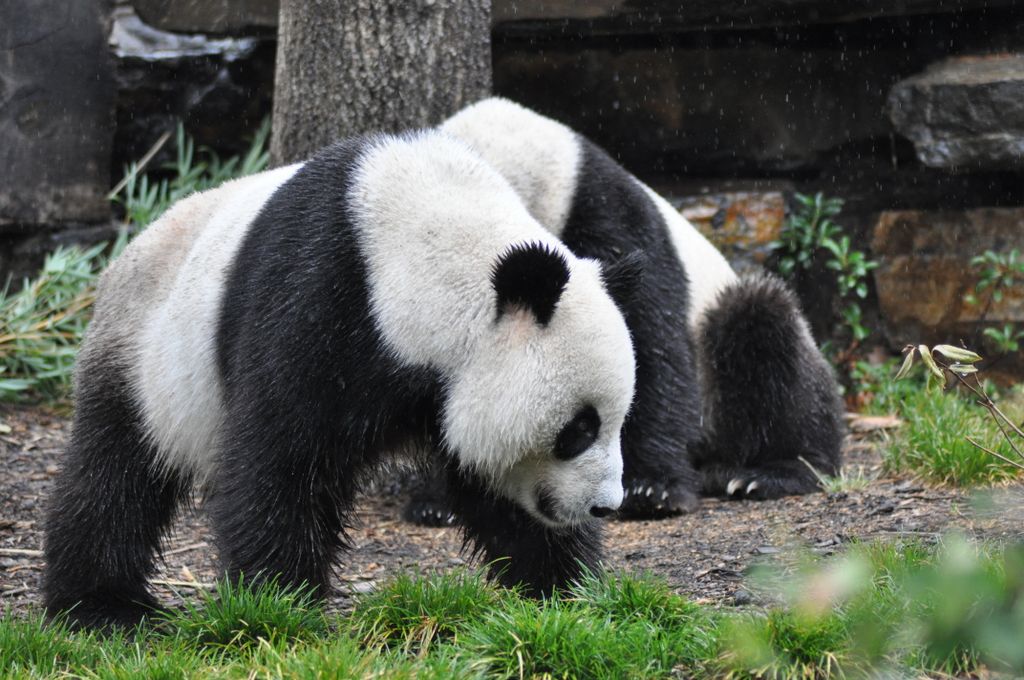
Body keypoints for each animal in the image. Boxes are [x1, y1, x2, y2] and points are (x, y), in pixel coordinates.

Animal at [43, 130, 641, 629]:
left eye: (617, 422)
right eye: (578, 430)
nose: (605, 506)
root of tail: (122, 256)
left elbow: (499, 489)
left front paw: (566, 595)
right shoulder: (319, 301)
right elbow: (280, 459)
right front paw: (278, 604)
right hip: (144, 352)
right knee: (114, 475)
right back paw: (103, 605)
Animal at [401, 97, 844, 523]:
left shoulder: (600, 210)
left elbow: (648, 340)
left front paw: (653, 491)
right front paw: (441, 499)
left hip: (720, 338)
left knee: (762, 332)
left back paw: (772, 472)